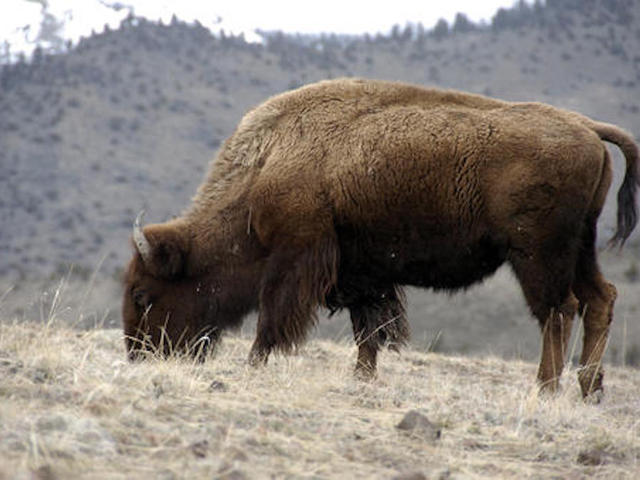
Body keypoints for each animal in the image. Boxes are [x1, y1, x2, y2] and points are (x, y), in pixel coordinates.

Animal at [122, 78, 638, 398]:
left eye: (144, 295)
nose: (138, 356)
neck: (268, 163)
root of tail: (587, 126)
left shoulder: (296, 258)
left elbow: (273, 321)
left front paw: (254, 365)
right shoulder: (363, 272)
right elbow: (370, 330)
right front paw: (363, 378)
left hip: (537, 254)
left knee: (559, 310)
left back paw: (546, 388)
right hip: (582, 248)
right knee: (599, 298)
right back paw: (589, 389)